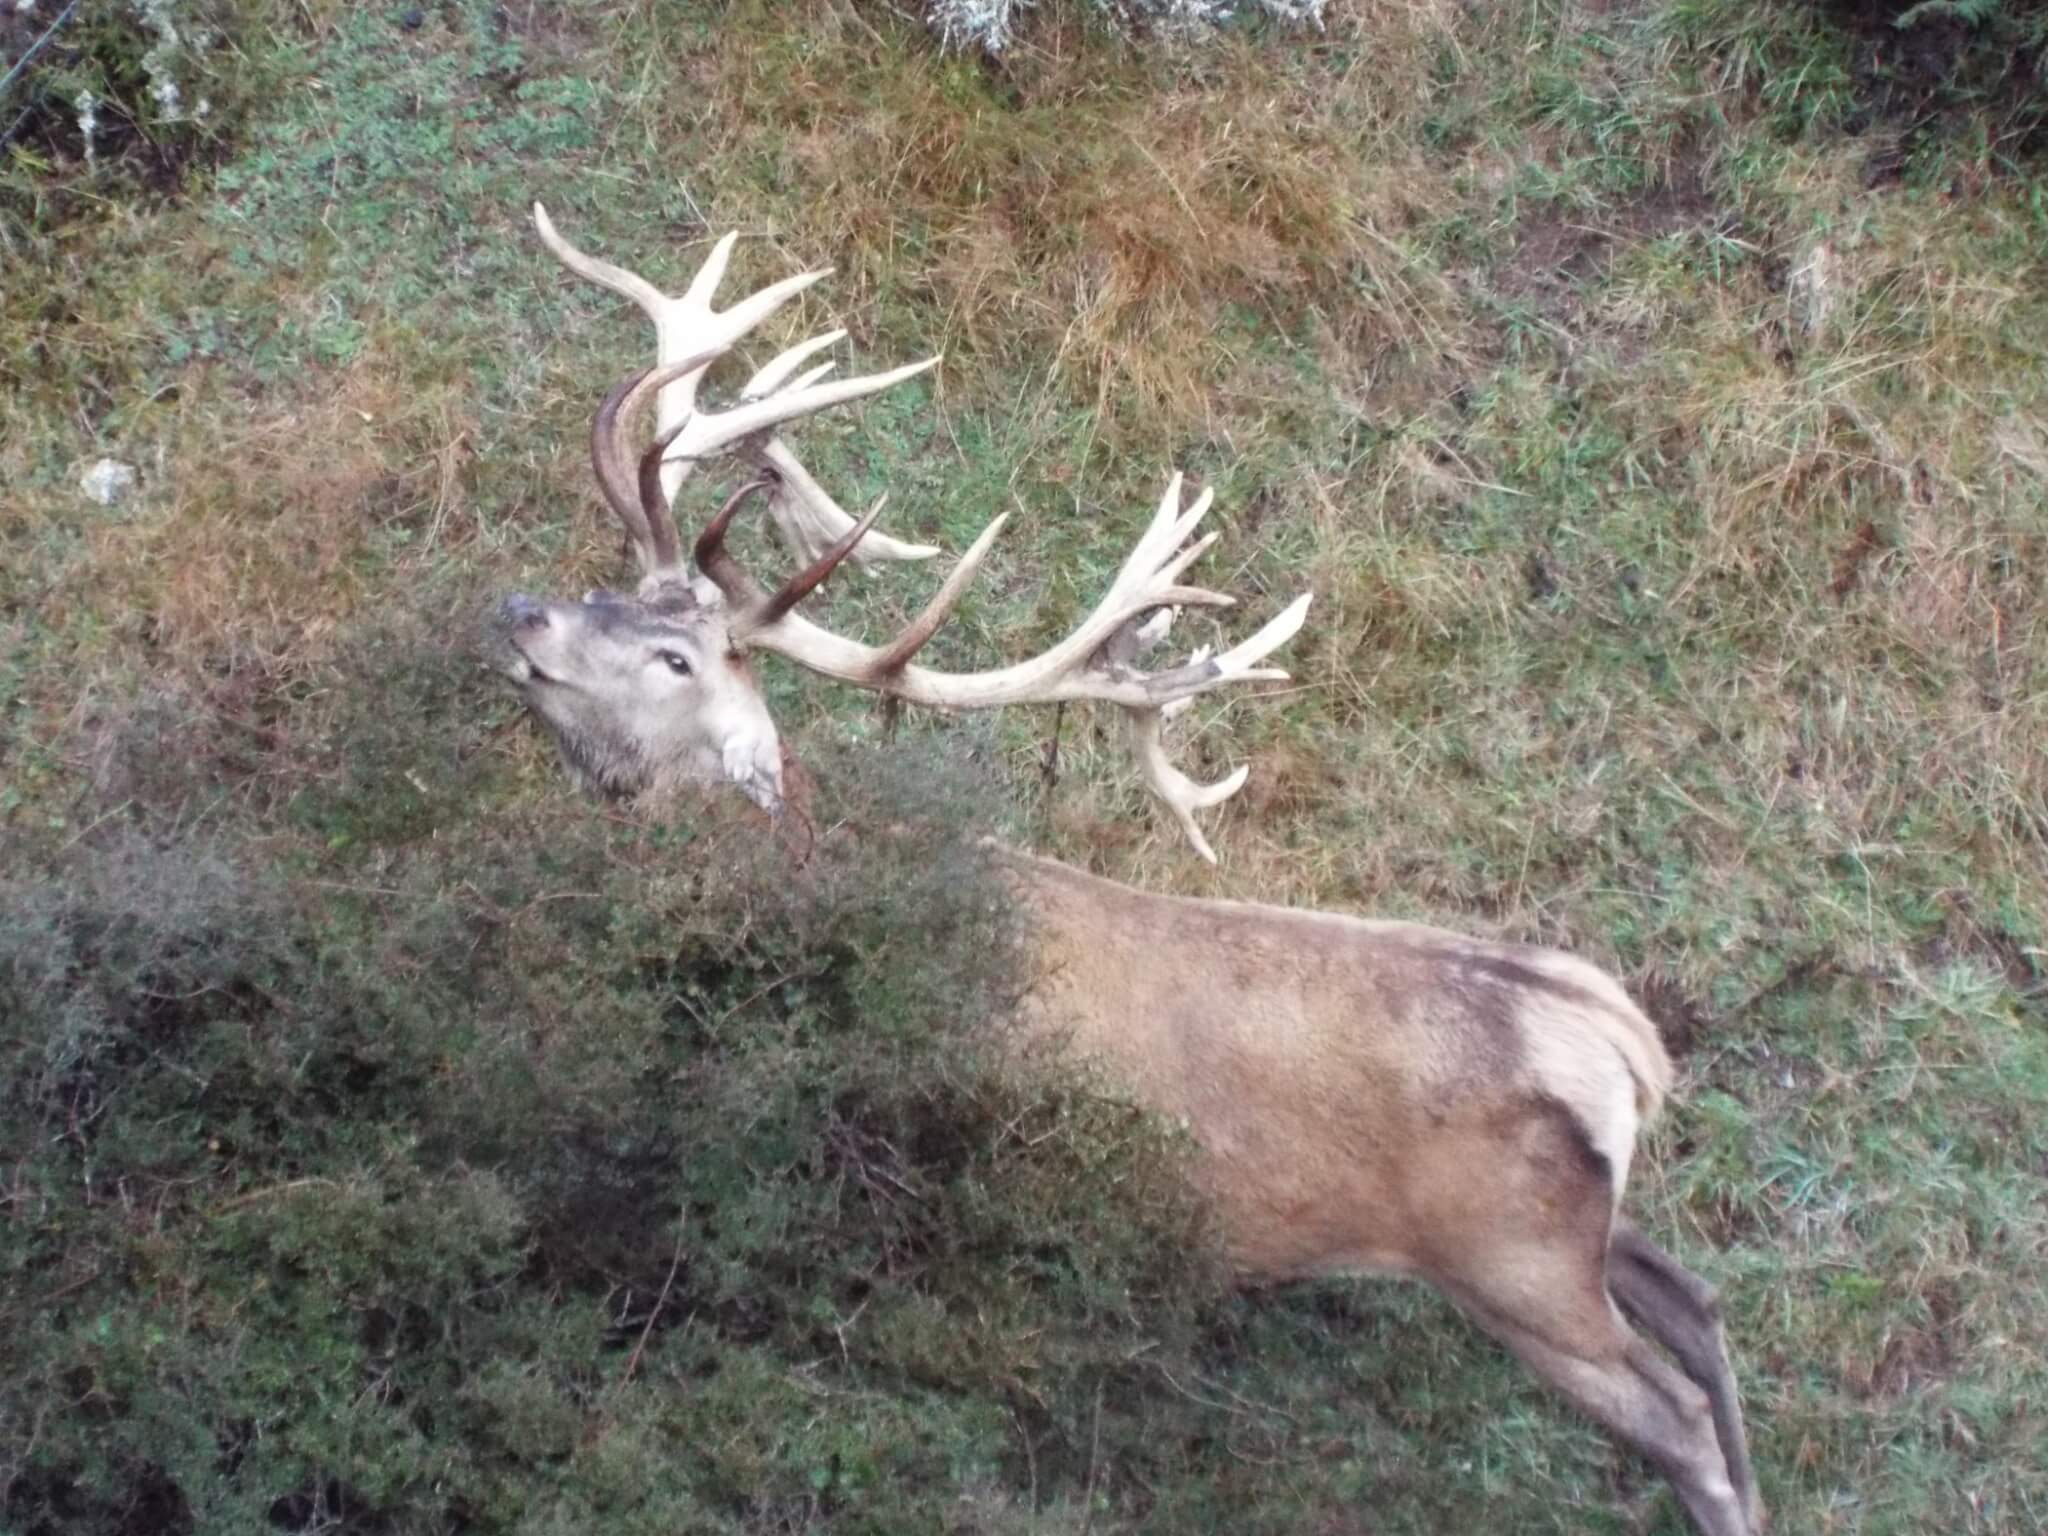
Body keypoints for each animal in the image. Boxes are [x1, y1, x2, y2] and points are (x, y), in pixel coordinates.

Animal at [482, 206, 1765, 1536]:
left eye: (676, 658)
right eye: (609, 593)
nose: (521, 612)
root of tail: (1618, 1036)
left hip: (1512, 1261)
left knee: (1677, 1414)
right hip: (1574, 1238)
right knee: (1696, 1302)